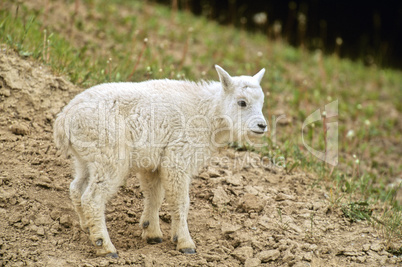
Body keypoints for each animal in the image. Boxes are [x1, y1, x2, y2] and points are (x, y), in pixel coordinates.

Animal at [53, 65, 266, 258]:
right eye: (242, 102)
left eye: (262, 102)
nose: (262, 126)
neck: (208, 111)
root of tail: (64, 119)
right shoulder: (178, 158)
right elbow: (181, 202)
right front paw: (185, 243)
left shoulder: (153, 162)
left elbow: (154, 195)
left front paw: (152, 233)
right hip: (109, 155)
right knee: (92, 198)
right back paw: (105, 247)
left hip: (85, 158)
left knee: (76, 187)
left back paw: (87, 228)